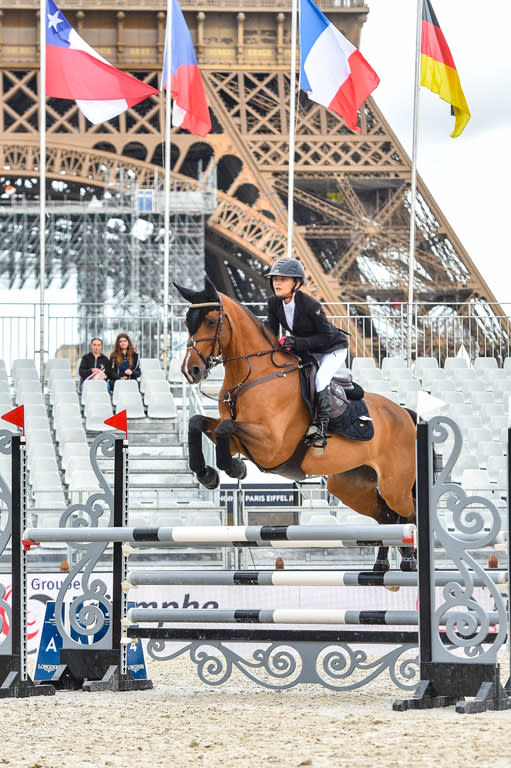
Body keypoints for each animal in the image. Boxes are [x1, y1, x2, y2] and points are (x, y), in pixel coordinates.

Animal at [174, 278, 418, 568]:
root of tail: (406, 415)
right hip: (351, 485)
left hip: (395, 486)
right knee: (387, 518)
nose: (191, 371)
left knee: (409, 515)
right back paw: (382, 567)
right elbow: (197, 422)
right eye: (187, 321)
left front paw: (235, 469)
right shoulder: (241, 442)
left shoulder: (271, 445)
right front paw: (208, 474)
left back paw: (409, 561)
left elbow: (224, 427)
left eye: (211, 321)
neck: (252, 375)